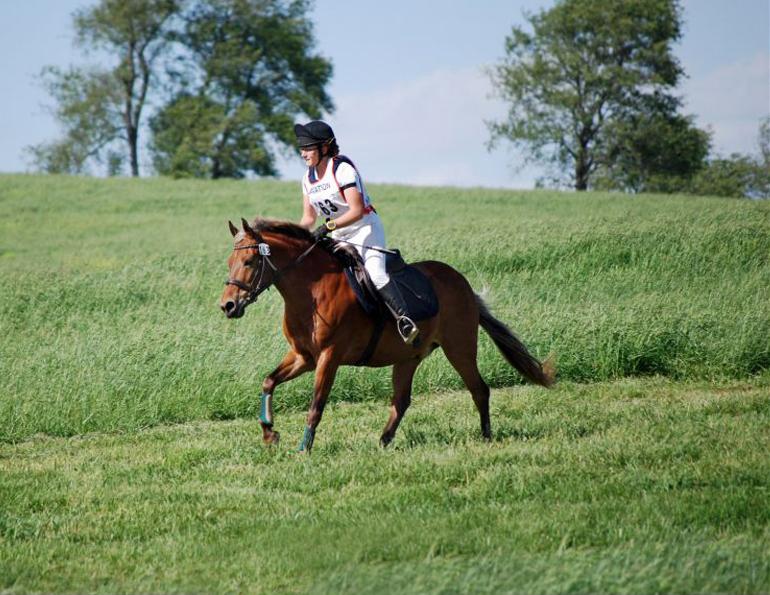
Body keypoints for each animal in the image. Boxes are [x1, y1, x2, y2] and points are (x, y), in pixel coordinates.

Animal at [219, 217, 554, 452]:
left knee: (479, 389)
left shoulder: (329, 357)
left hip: (459, 347)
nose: (228, 305)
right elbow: (269, 381)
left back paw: (485, 437)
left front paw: (303, 449)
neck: (311, 290)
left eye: (249, 261)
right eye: (230, 262)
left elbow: (316, 405)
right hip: (409, 356)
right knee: (402, 400)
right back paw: (383, 442)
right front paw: (269, 433)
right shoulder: (303, 356)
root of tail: (462, 282)